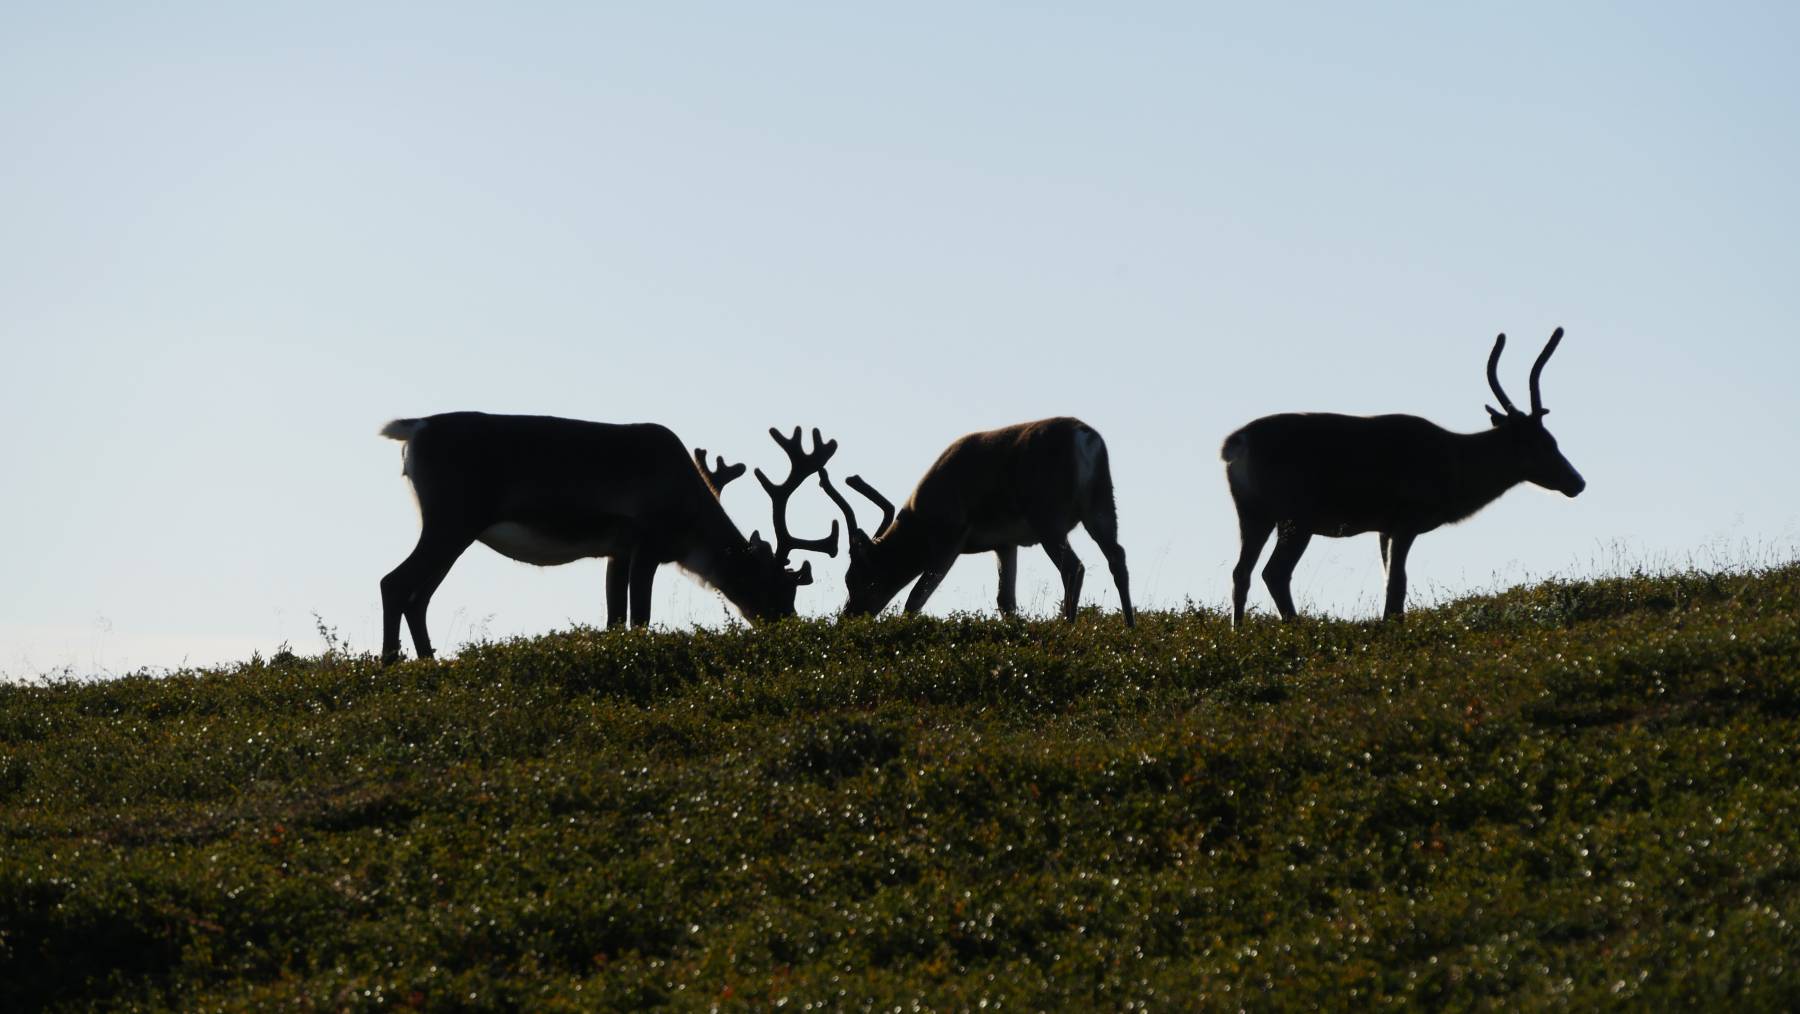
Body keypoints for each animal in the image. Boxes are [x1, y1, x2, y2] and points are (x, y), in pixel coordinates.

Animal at [377, 413, 839, 663]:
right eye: (775, 587)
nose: (792, 628)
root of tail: (414, 429)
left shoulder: (616, 553)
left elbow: (614, 620)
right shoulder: (647, 543)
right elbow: (641, 619)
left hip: (455, 532)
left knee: (418, 596)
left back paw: (428, 663)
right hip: (451, 522)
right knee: (394, 582)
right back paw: (389, 664)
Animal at [815, 417, 1135, 626]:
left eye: (856, 577)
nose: (848, 617)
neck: (920, 522)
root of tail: (1086, 439)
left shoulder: (952, 536)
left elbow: (916, 598)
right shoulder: (1005, 543)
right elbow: (1006, 601)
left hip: (1049, 519)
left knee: (1074, 567)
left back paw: (1067, 626)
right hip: (1102, 506)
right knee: (1117, 557)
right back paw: (1129, 626)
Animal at [1222, 327, 1586, 627]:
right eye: (1543, 443)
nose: (1577, 482)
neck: (1455, 470)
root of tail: (1234, 444)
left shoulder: (1384, 527)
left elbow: (1389, 581)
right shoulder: (1406, 518)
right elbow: (1398, 583)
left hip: (1252, 512)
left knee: (1242, 571)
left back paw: (1238, 631)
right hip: (1297, 515)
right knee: (1274, 572)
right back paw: (1297, 627)